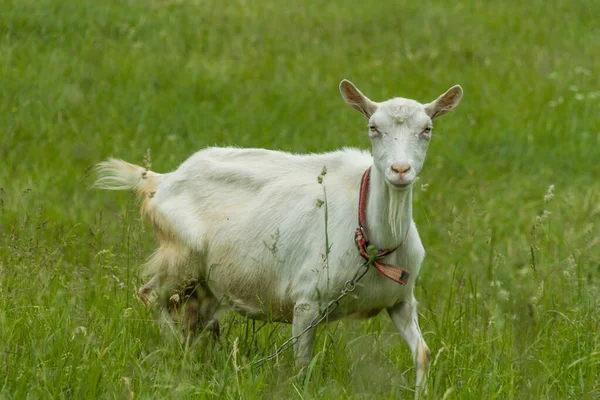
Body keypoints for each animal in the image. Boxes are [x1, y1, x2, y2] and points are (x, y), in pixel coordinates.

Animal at [95, 79, 464, 390]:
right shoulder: (307, 302)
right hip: (180, 259)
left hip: (207, 282)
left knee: (196, 318)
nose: (400, 170)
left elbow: (422, 353)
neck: (374, 245)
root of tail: (159, 181)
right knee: (150, 295)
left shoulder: (402, 301)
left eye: (427, 129)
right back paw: (176, 354)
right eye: (373, 127)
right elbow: (303, 367)